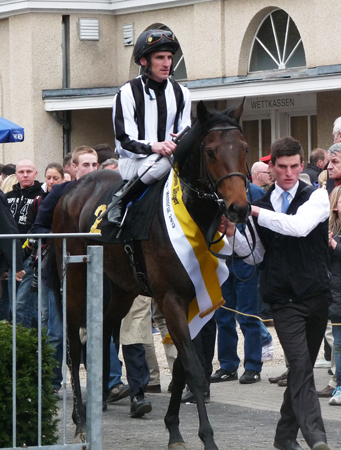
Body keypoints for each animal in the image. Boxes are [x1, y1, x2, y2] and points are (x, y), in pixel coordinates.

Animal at [53, 101, 250, 450]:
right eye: (210, 151)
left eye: (244, 148)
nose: (239, 208)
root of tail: (72, 188)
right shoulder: (170, 299)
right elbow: (194, 367)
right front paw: (207, 437)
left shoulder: (198, 300)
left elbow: (182, 366)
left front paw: (174, 429)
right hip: (75, 278)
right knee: (75, 346)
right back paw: (80, 421)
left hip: (123, 288)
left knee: (102, 331)